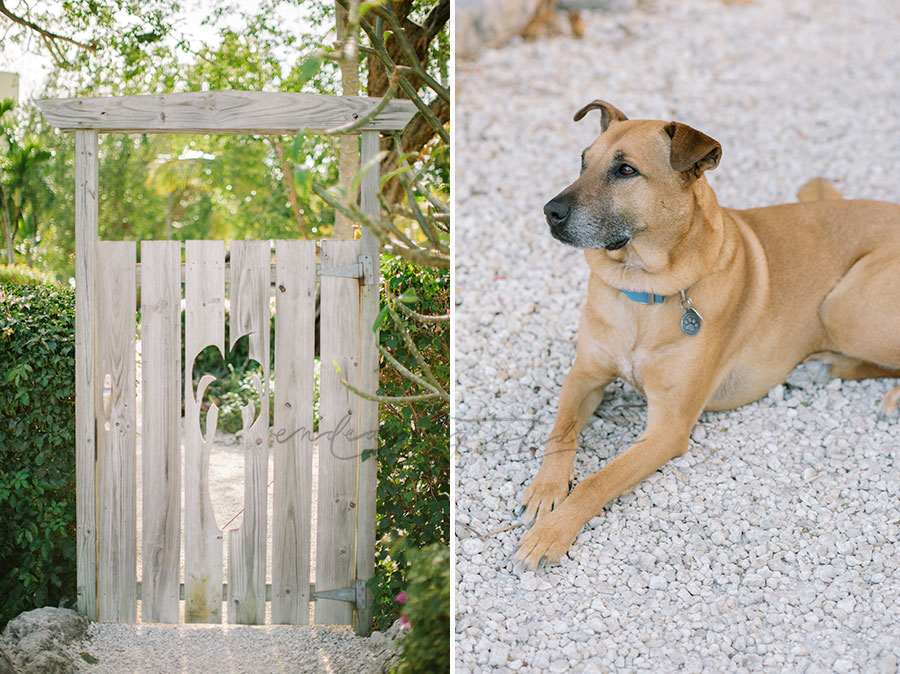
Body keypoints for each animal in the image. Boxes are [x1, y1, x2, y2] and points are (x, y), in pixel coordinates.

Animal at [516, 102, 900, 568]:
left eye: (626, 170)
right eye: (583, 162)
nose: (549, 211)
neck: (642, 290)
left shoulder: (668, 427)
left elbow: (599, 480)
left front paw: (551, 532)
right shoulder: (585, 375)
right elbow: (560, 433)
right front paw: (545, 488)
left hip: (844, 307)